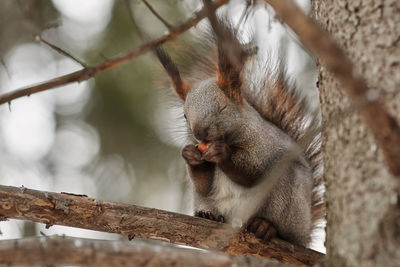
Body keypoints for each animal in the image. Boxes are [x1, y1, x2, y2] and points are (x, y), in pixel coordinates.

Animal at [155, 13, 324, 248]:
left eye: (223, 108)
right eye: (185, 115)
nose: (199, 134)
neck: (229, 137)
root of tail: (305, 232)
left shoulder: (263, 147)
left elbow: (254, 175)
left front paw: (222, 154)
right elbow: (204, 185)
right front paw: (190, 156)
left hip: (288, 194)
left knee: (285, 230)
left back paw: (267, 227)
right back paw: (208, 215)